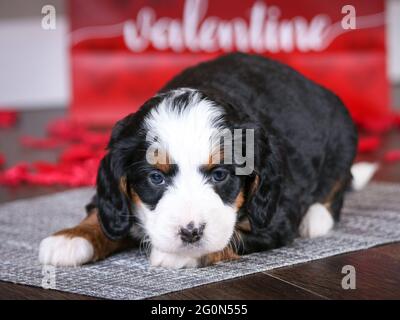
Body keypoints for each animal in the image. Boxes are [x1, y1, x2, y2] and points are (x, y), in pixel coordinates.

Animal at [38, 53, 366, 268]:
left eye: (220, 175)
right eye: (156, 177)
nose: (190, 232)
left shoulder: (275, 216)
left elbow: (230, 237)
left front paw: (176, 255)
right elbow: (102, 212)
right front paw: (71, 237)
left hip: (343, 132)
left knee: (337, 184)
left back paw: (316, 218)